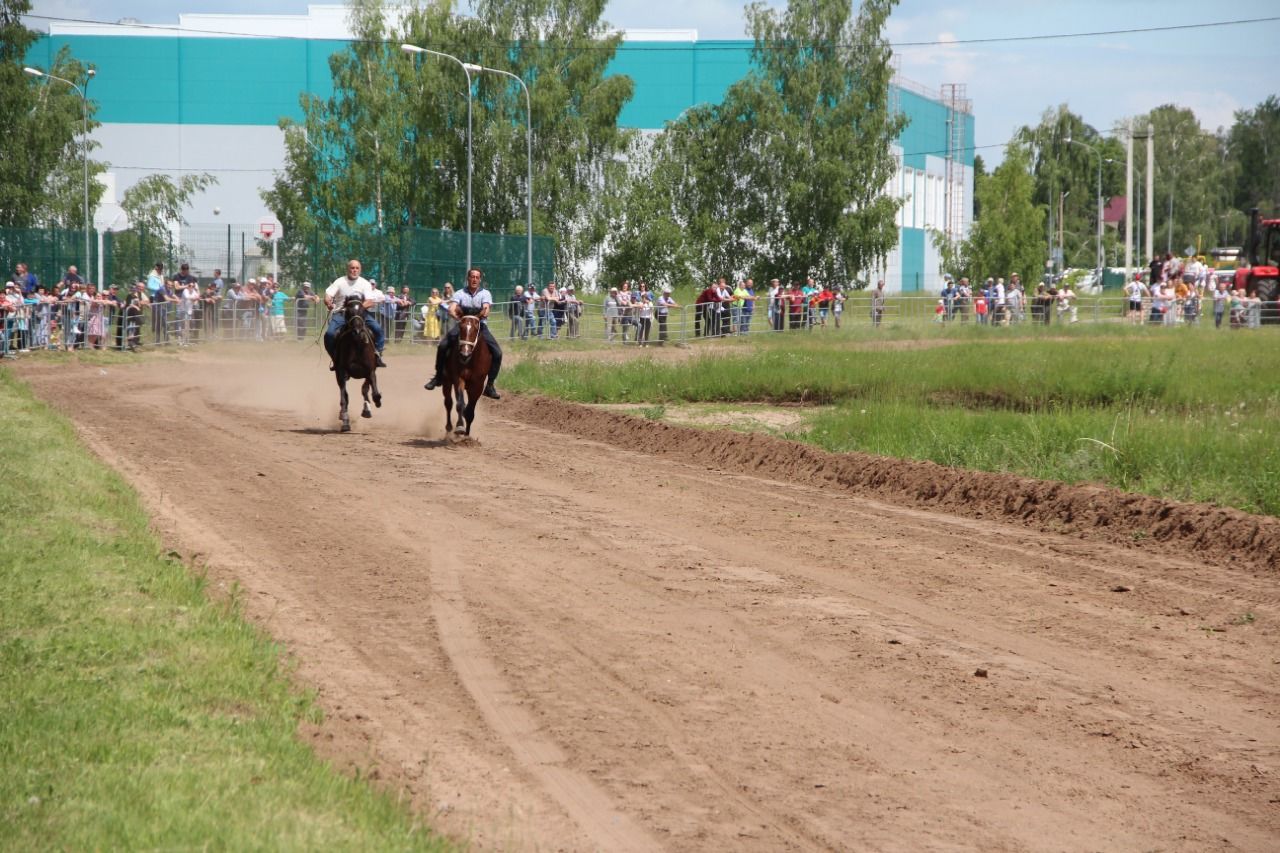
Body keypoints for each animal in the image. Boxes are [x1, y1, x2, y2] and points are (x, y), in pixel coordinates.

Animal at [330, 295, 378, 435]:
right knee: (346, 395)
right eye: (349, 311)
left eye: (362, 310)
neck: (357, 344)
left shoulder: (370, 370)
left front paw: (371, 406)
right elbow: (344, 397)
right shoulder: (341, 372)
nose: (357, 330)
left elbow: (370, 391)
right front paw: (345, 419)